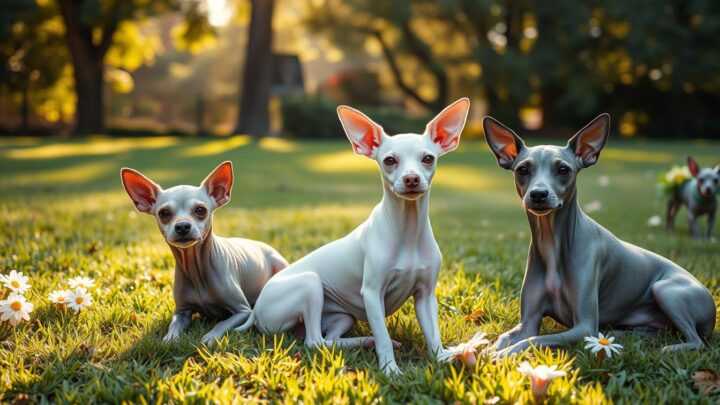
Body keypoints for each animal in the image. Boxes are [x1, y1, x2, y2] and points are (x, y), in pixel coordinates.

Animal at [121, 161, 286, 344]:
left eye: (200, 210)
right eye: (164, 213)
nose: (182, 226)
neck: (195, 268)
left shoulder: (243, 311)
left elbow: (222, 323)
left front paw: (210, 337)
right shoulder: (182, 311)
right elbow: (174, 324)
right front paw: (170, 338)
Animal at [484, 112, 716, 356]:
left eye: (563, 170)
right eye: (522, 170)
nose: (538, 194)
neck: (552, 243)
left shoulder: (585, 327)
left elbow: (533, 340)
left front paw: (502, 355)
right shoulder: (528, 322)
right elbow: (506, 337)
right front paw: (485, 349)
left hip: (664, 289)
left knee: (697, 341)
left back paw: (671, 348)